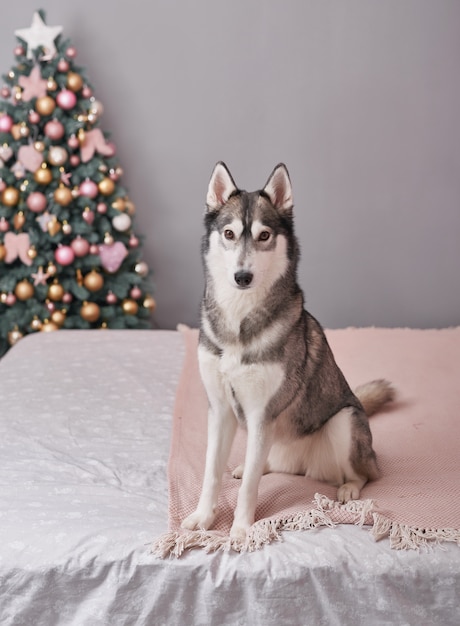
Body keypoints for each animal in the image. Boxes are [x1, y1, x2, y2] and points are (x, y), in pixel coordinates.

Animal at [181, 162, 394, 540]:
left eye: (264, 236)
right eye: (229, 234)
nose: (242, 276)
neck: (239, 319)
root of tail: (303, 464)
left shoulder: (261, 413)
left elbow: (249, 488)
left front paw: (240, 530)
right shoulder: (220, 410)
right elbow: (210, 473)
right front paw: (204, 517)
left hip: (344, 422)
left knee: (366, 472)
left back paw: (349, 488)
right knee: (261, 462)